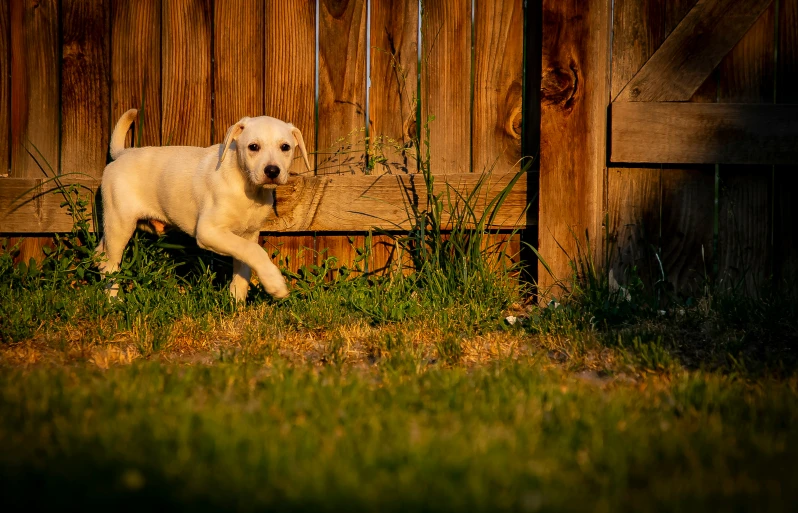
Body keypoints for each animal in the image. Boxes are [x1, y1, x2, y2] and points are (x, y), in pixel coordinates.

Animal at [95, 109, 310, 300]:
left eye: (285, 147)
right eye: (253, 147)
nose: (272, 171)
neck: (248, 189)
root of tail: (123, 154)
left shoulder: (248, 234)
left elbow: (244, 266)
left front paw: (236, 303)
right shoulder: (209, 231)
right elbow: (254, 251)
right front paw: (275, 284)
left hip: (114, 225)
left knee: (102, 254)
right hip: (120, 224)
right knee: (111, 266)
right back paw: (113, 301)